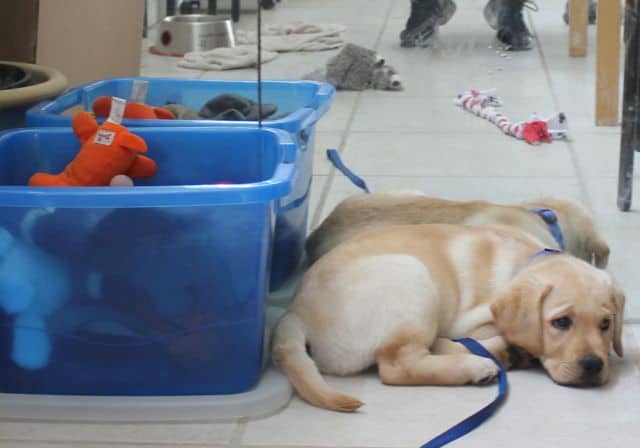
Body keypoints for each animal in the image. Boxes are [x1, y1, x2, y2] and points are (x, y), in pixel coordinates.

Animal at [272, 224, 624, 412]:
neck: (526, 261)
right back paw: (481, 364)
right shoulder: (474, 320)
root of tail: (295, 310)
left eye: (606, 325)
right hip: (412, 276)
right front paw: (516, 348)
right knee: (397, 365)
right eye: (561, 322)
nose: (593, 366)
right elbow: (498, 334)